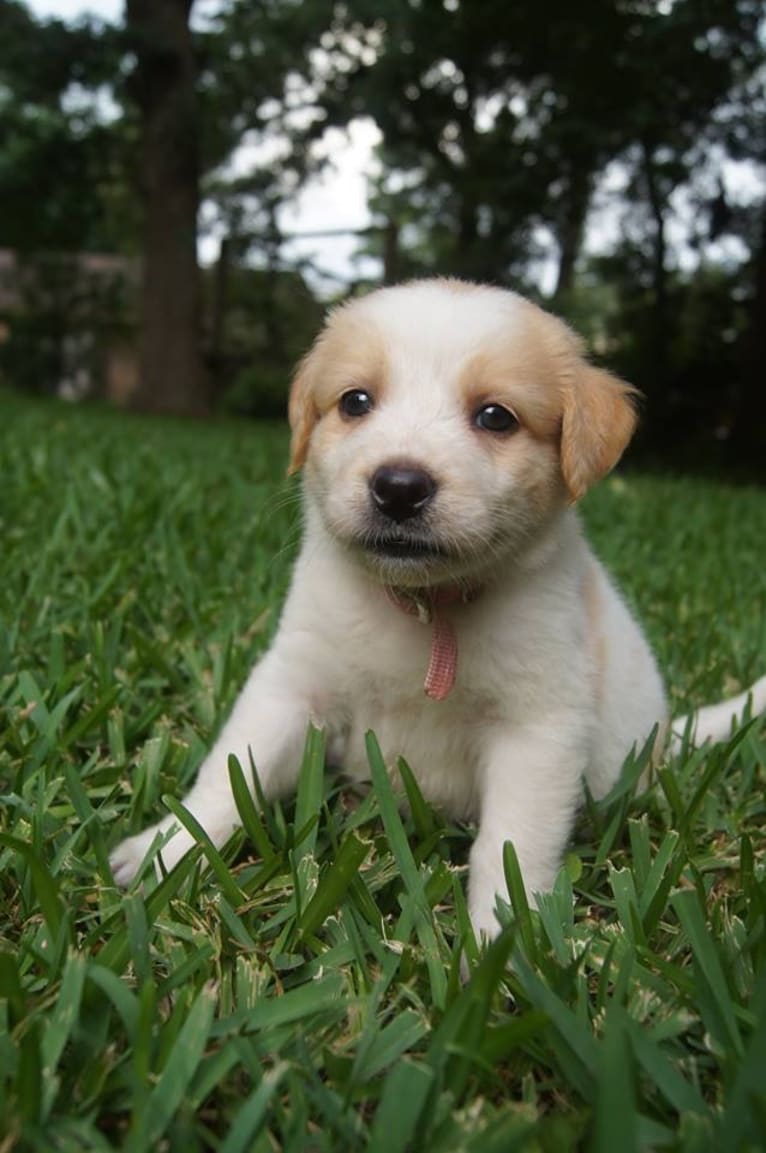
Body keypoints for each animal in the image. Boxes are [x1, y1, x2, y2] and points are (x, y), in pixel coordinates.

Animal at [109, 283, 765, 940]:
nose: (398, 487)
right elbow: (230, 773)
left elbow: (512, 847)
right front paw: (163, 853)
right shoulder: (294, 684)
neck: (424, 607)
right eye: (355, 401)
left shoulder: (538, 728)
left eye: (496, 416)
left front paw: (504, 943)